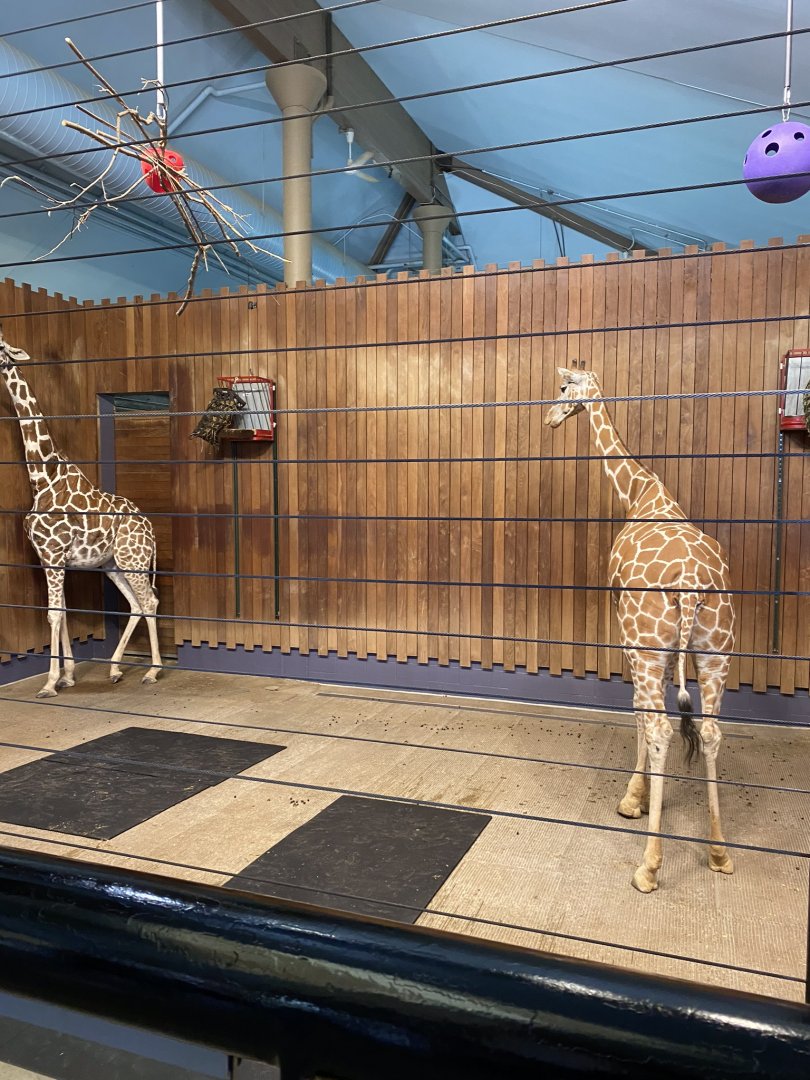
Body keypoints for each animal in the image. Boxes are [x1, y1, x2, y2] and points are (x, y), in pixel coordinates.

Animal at [0, 330, 162, 697]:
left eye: (0, 345)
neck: (42, 477)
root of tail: (151, 531)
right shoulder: (50, 558)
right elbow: (62, 612)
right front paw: (68, 675)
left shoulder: (53, 553)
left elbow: (53, 613)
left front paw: (49, 683)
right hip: (112, 564)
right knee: (135, 603)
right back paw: (114, 669)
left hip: (133, 559)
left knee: (150, 601)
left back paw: (153, 671)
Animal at [545, 367, 735, 893]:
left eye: (564, 388)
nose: (550, 419)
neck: (640, 491)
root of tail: (690, 585)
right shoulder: (668, 650)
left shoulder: (631, 637)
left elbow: (636, 712)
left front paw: (634, 798)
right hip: (716, 651)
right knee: (709, 730)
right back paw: (718, 851)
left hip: (652, 645)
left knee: (662, 726)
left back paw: (649, 866)